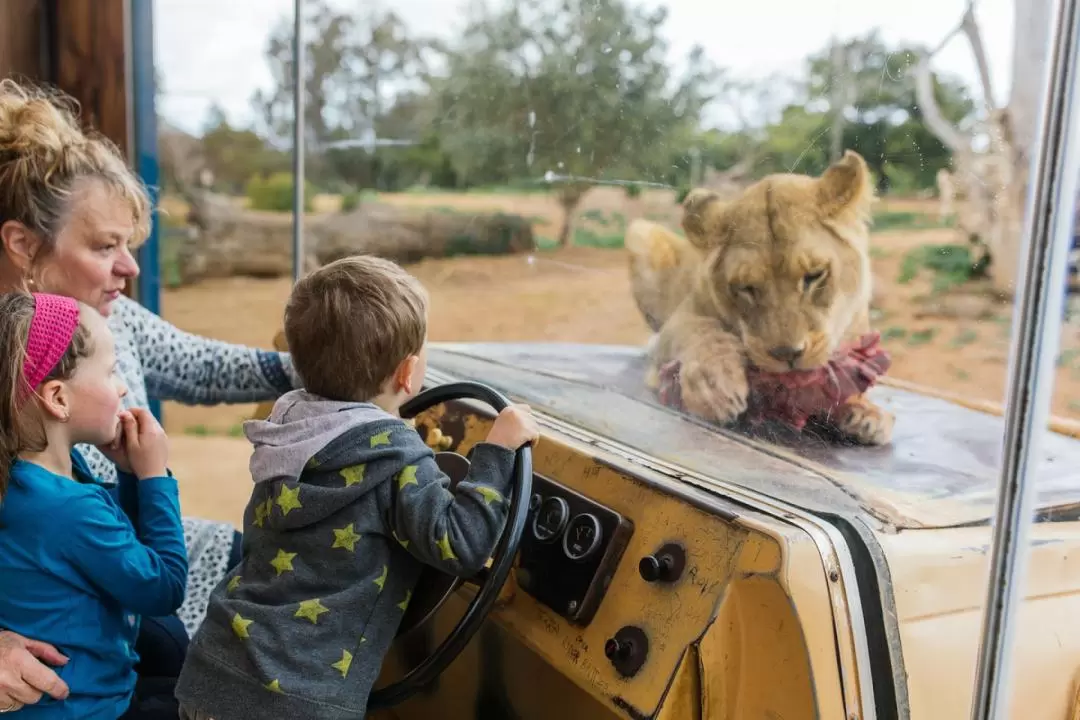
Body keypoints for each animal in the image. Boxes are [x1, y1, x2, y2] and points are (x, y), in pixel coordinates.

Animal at [626, 151, 894, 444]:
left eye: (814, 275)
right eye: (747, 288)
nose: (788, 354)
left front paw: (865, 412)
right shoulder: (685, 314)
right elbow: (700, 330)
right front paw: (714, 384)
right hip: (642, 233)